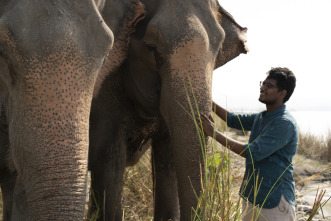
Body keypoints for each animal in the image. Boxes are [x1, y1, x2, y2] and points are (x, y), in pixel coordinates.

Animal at [88, 0, 249, 221]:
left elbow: (169, 156)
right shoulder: (104, 87)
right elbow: (108, 159)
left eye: (218, 51)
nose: (206, 118)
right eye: (151, 48)